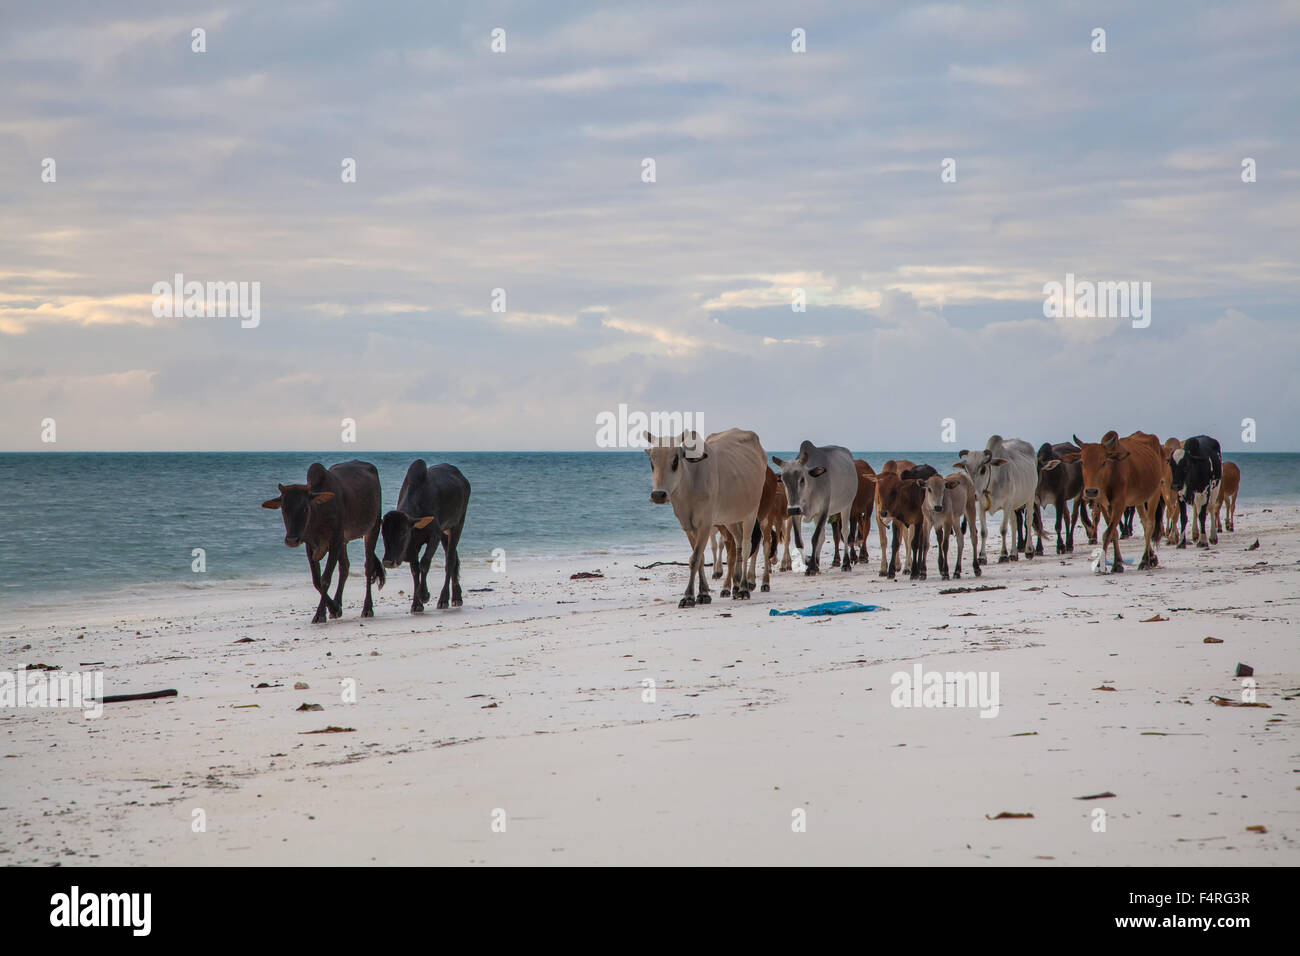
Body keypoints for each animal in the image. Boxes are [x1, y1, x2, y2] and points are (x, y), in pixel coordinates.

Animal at [379, 457, 473, 613]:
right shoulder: (414, 545)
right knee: (453, 558)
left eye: (404, 532)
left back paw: (445, 599)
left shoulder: (434, 535)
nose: (387, 562)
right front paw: (416, 603)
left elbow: (424, 563)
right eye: (383, 534)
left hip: (457, 524)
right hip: (445, 532)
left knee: (450, 560)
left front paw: (424, 595)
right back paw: (456, 596)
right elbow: (415, 569)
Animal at [774, 442, 857, 574]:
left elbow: (815, 538)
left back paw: (846, 564)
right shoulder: (797, 513)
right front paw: (809, 564)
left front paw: (811, 568)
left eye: (802, 479)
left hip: (847, 505)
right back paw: (817, 562)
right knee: (823, 536)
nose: (792, 509)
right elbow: (799, 542)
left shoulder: (823, 510)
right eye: (783, 480)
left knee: (844, 532)